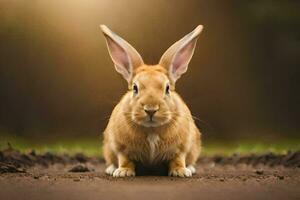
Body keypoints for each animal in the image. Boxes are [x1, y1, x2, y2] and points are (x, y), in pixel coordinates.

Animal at [99, 24, 203, 177]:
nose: (151, 109)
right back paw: (111, 169)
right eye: (135, 88)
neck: (151, 130)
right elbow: (124, 159)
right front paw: (123, 172)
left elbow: (178, 159)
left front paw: (181, 172)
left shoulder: (182, 147)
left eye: (167, 88)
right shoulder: (120, 147)